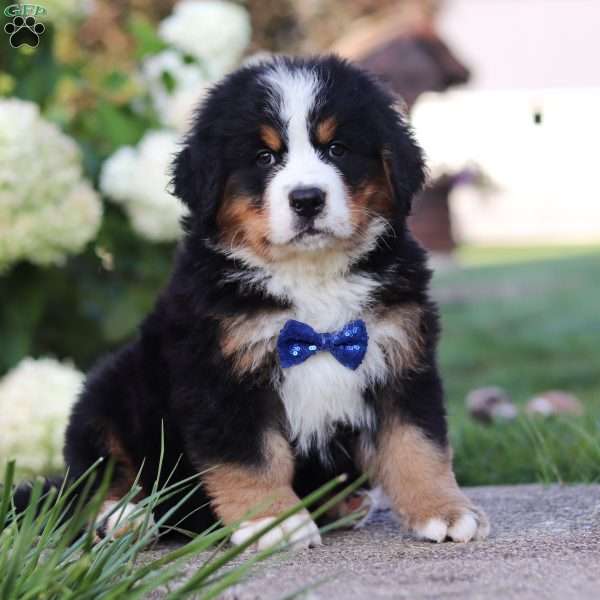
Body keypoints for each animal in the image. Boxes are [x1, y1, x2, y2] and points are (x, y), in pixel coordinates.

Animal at [58, 55, 490, 548]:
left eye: (337, 148)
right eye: (265, 157)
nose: (307, 199)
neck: (311, 278)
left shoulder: (401, 359)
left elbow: (417, 444)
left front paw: (445, 511)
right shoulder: (221, 375)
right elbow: (254, 458)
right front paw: (273, 522)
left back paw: (346, 504)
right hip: (108, 390)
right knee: (92, 478)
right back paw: (124, 518)